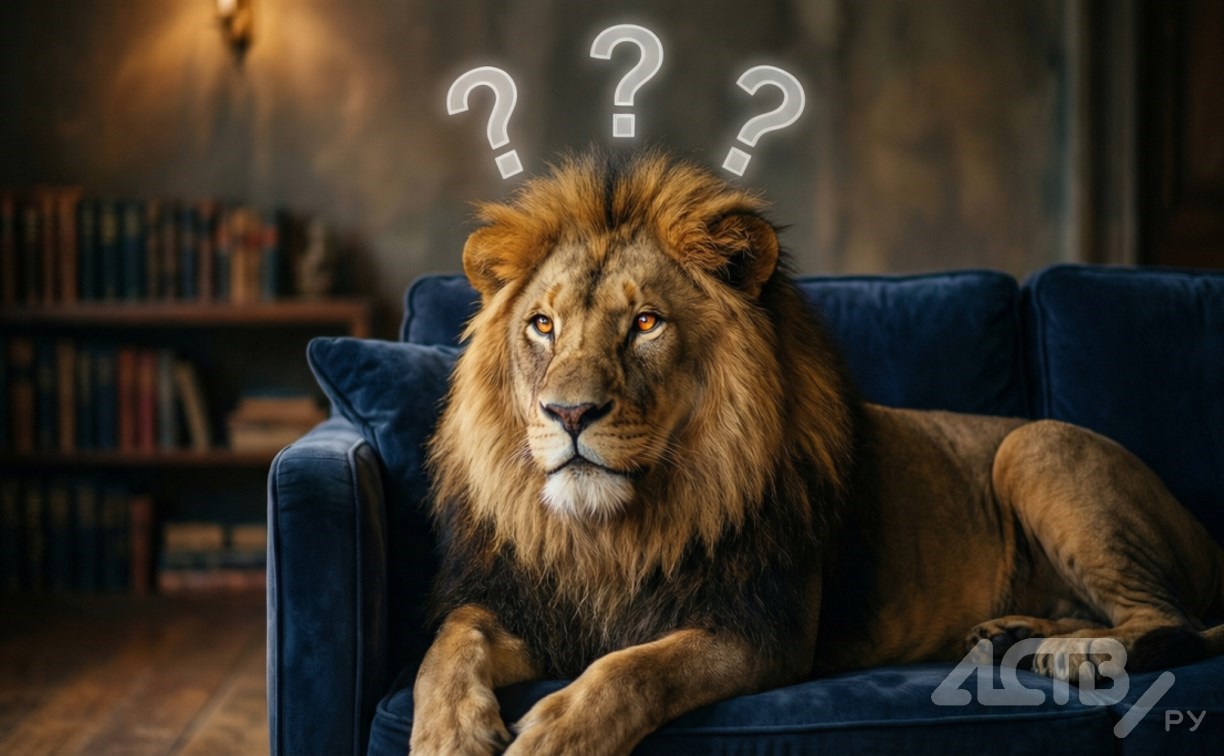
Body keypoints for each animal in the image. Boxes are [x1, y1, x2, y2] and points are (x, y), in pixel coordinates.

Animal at [410, 150, 1224, 755]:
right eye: (542, 325)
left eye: (645, 322)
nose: (569, 413)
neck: (613, 534)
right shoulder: (528, 608)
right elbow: (447, 644)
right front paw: (448, 735)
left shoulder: (761, 632)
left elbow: (635, 669)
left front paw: (558, 732)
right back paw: (1013, 636)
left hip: (1036, 444)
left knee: (1172, 622)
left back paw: (1072, 656)